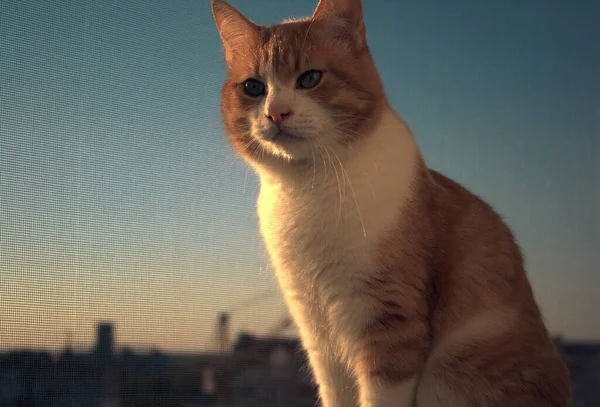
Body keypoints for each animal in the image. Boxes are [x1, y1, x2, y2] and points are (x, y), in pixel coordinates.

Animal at [211, 0, 572, 406]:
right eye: (254, 87)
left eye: (310, 78)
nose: (276, 112)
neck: (308, 188)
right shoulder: (317, 332)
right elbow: (335, 393)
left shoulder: (389, 322)